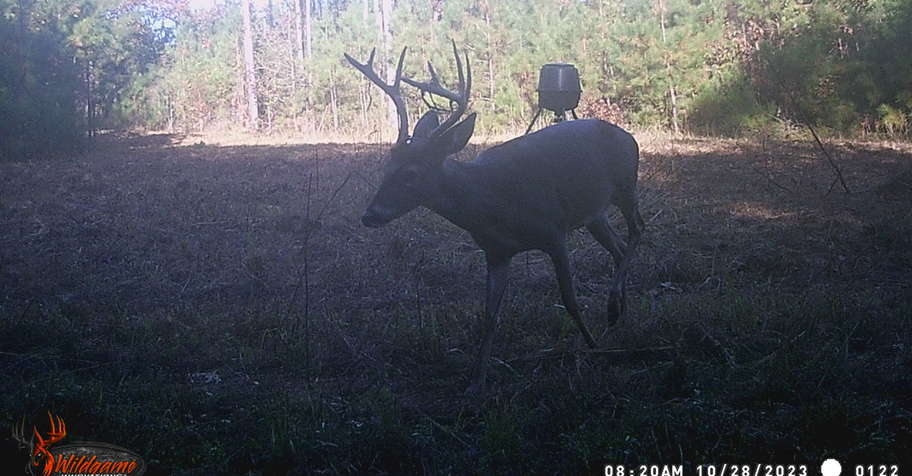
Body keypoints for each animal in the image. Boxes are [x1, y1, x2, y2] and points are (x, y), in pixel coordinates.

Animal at [345, 43, 644, 392]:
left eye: (411, 174)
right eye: (387, 167)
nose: (370, 215)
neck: (490, 203)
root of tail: (627, 135)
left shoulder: (553, 231)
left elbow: (569, 299)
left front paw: (593, 346)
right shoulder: (496, 251)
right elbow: (490, 316)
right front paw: (476, 380)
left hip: (625, 185)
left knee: (638, 230)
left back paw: (614, 308)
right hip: (594, 214)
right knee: (619, 247)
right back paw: (619, 312)